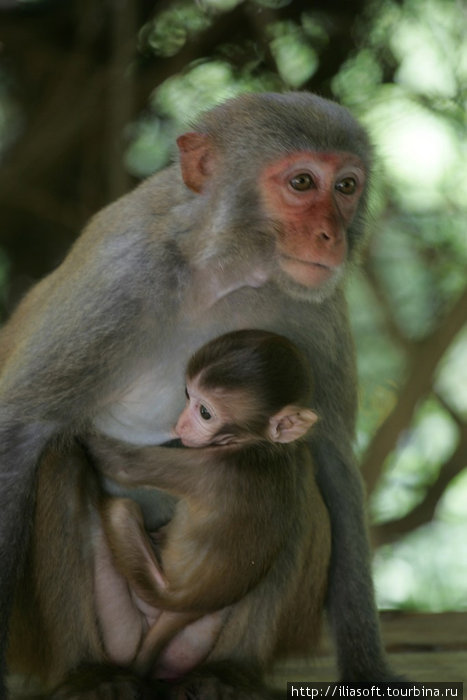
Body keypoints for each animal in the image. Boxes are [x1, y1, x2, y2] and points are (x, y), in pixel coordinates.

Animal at [90, 330, 326, 676]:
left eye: (205, 413)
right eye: (187, 395)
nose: (179, 425)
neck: (257, 446)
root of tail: (190, 605)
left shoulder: (211, 467)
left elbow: (123, 464)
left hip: (153, 586)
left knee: (122, 510)